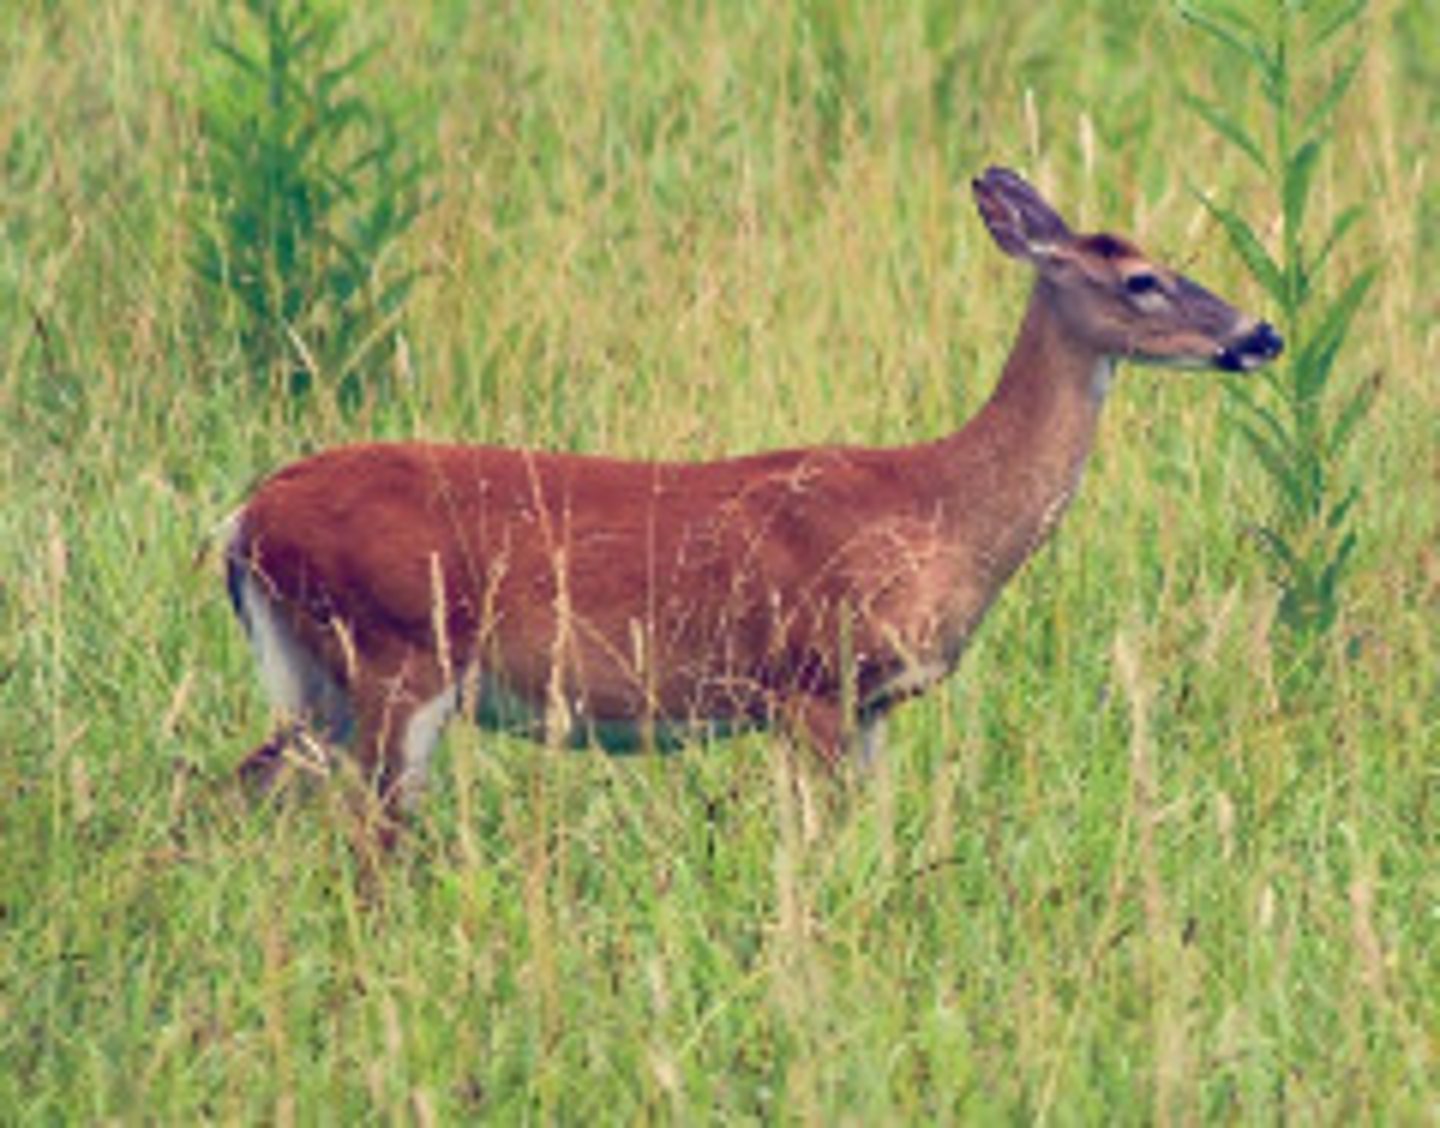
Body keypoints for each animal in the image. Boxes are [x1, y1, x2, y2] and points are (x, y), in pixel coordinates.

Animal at [223, 167, 1282, 842]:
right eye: (1142, 279)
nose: (1260, 333)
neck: (942, 507)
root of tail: (243, 522)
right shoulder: (810, 678)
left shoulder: (869, 707)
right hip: (399, 653)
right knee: (367, 834)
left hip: (322, 681)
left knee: (235, 789)